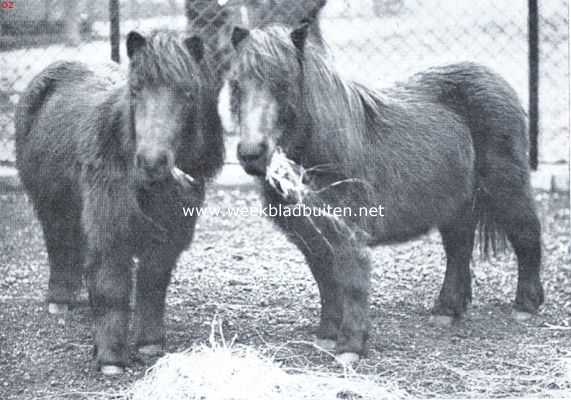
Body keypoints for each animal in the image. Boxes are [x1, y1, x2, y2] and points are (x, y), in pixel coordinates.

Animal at [14, 31, 225, 376]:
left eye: (187, 92)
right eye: (136, 89)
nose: (152, 161)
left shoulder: (167, 237)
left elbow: (153, 285)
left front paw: (149, 343)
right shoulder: (110, 230)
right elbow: (111, 285)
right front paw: (111, 357)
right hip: (52, 206)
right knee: (59, 247)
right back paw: (60, 301)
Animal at [220, 22, 544, 362]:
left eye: (284, 84)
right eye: (236, 85)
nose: (252, 153)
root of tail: (494, 79)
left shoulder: (347, 232)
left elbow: (352, 282)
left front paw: (350, 346)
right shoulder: (312, 238)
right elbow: (326, 284)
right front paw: (327, 334)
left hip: (506, 189)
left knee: (526, 235)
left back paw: (525, 305)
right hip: (456, 205)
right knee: (459, 249)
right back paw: (446, 310)